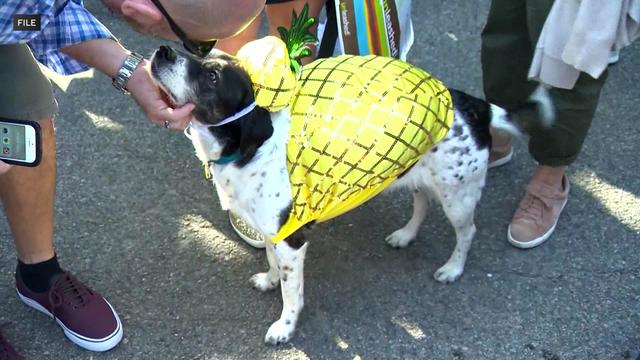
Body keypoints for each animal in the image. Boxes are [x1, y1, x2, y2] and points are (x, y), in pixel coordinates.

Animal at [150, 45, 556, 346]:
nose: (163, 50)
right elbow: (270, 261)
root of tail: (476, 105)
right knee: (421, 203)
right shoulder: (271, 231)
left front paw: (284, 327)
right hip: (417, 174)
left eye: (212, 76)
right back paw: (406, 235)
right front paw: (268, 279)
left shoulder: (292, 242)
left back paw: (453, 269)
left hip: (458, 196)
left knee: (467, 232)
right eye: (198, 52)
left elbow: (292, 293)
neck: (250, 148)